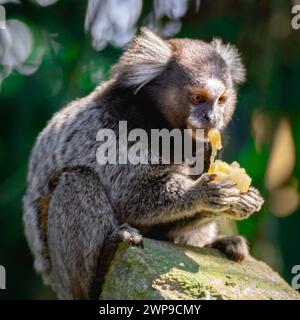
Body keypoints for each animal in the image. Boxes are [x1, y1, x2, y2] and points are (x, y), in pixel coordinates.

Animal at [22, 28, 262, 300]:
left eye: (221, 99)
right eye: (197, 98)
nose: (212, 118)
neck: (167, 126)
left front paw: (242, 201)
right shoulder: (116, 130)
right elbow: (131, 197)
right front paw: (201, 192)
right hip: (61, 274)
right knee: (78, 180)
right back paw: (104, 262)